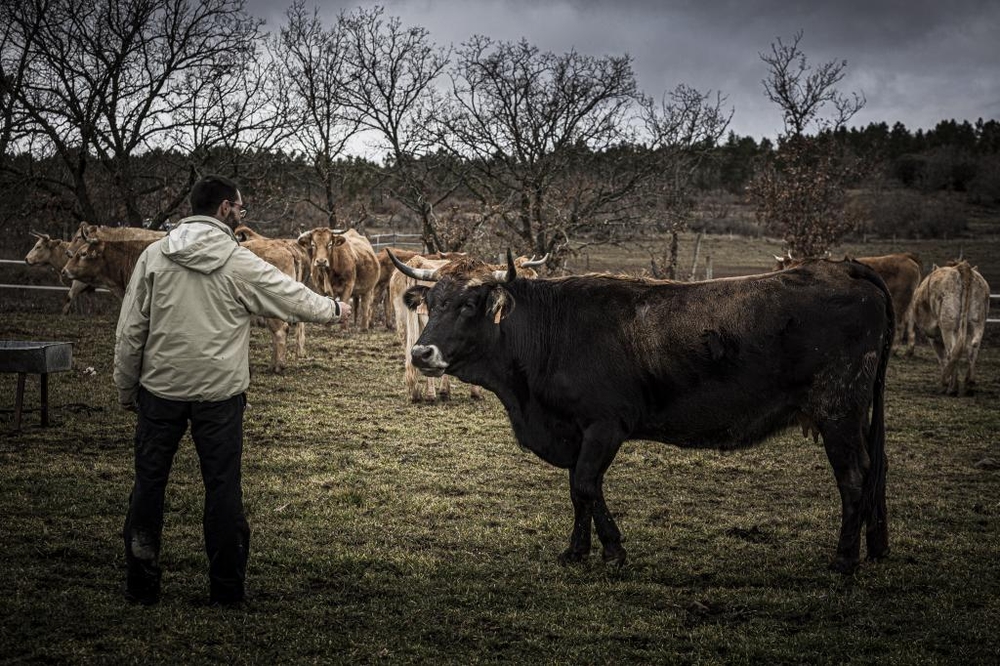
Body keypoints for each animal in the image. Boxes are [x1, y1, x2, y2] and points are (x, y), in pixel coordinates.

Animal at [392, 252, 900, 572]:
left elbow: (585, 486)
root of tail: (847, 269)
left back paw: (844, 559)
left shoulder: (604, 426)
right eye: (432, 302)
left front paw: (612, 551)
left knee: (854, 478)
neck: (552, 331)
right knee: (874, 473)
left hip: (838, 413)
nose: (421, 353)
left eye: (467, 304)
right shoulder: (576, 433)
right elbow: (581, 492)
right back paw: (873, 547)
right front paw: (578, 552)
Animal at [912, 260, 988, 394]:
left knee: (952, 352)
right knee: (972, 349)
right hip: (978, 322)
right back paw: (969, 384)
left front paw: (945, 382)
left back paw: (952, 388)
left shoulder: (933, 338)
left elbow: (942, 357)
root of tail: (962, 267)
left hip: (948, 326)